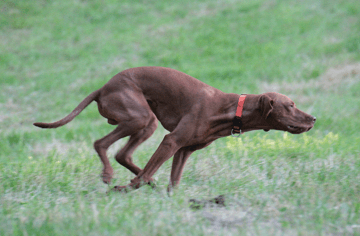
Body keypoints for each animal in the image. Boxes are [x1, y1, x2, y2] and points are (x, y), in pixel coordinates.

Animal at [33, 66, 316, 192]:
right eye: (290, 105)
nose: (313, 118)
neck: (229, 108)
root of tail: (103, 87)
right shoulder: (172, 141)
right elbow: (147, 174)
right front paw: (129, 187)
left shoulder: (183, 150)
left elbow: (174, 182)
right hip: (139, 118)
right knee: (102, 144)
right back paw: (110, 176)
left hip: (146, 124)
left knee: (123, 154)